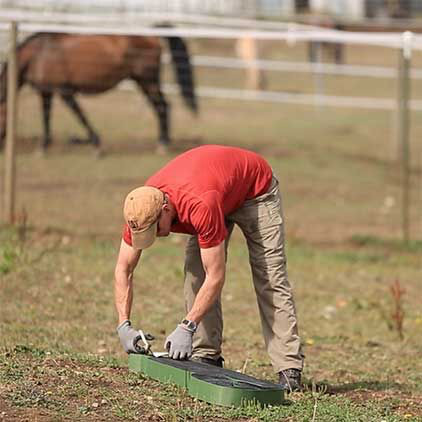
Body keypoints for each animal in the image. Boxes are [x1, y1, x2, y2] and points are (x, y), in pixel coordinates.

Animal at [0, 31, 198, 153]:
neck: (39, 53)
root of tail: (153, 37)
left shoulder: (65, 91)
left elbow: (80, 115)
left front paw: (97, 145)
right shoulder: (46, 91)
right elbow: (46, 117)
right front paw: (43, 146)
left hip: (147, 81)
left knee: (162, 106)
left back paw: (163, 144)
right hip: (143, 82)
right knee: (161, 106)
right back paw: (163, 142)